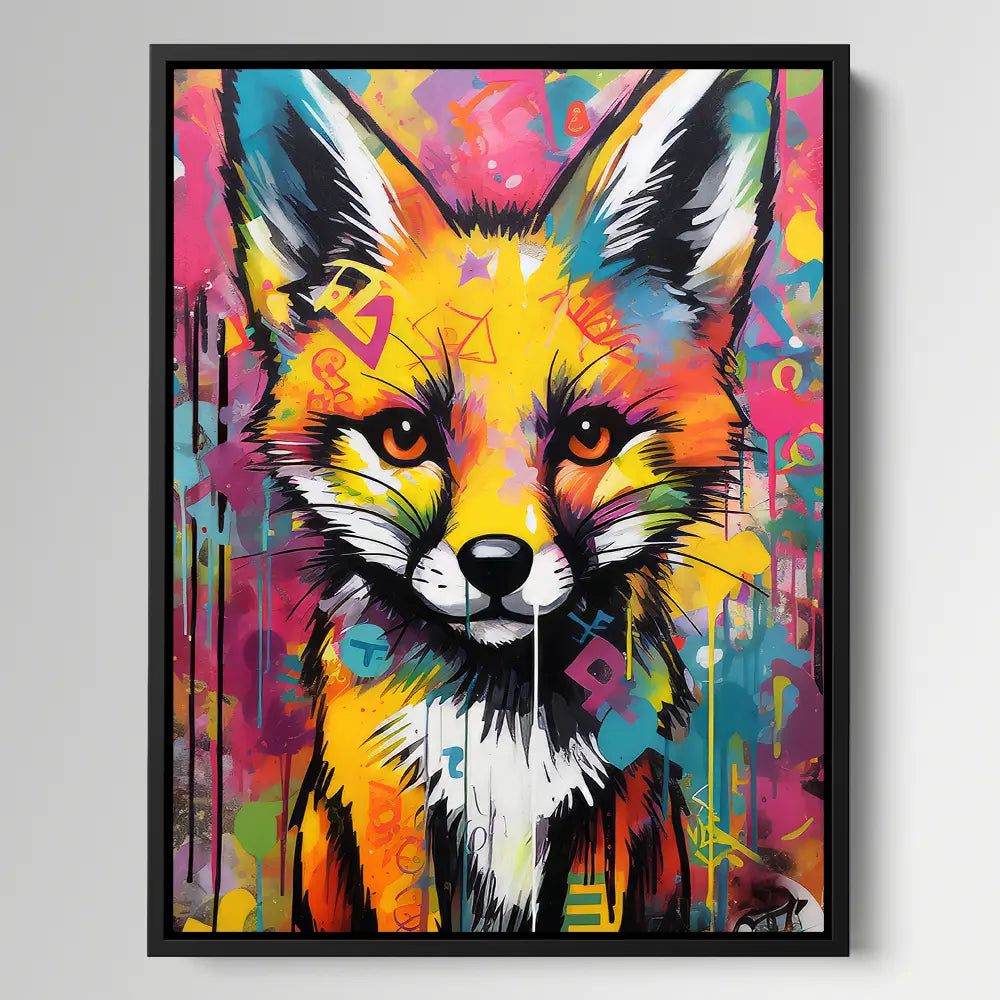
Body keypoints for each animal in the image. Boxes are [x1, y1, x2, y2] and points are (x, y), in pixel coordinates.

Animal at [220, 65, 778, 934]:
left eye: (589, 435)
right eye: (405, 437)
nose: (494, 565)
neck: (502, 734)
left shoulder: (607, 819)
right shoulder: (393, 818)